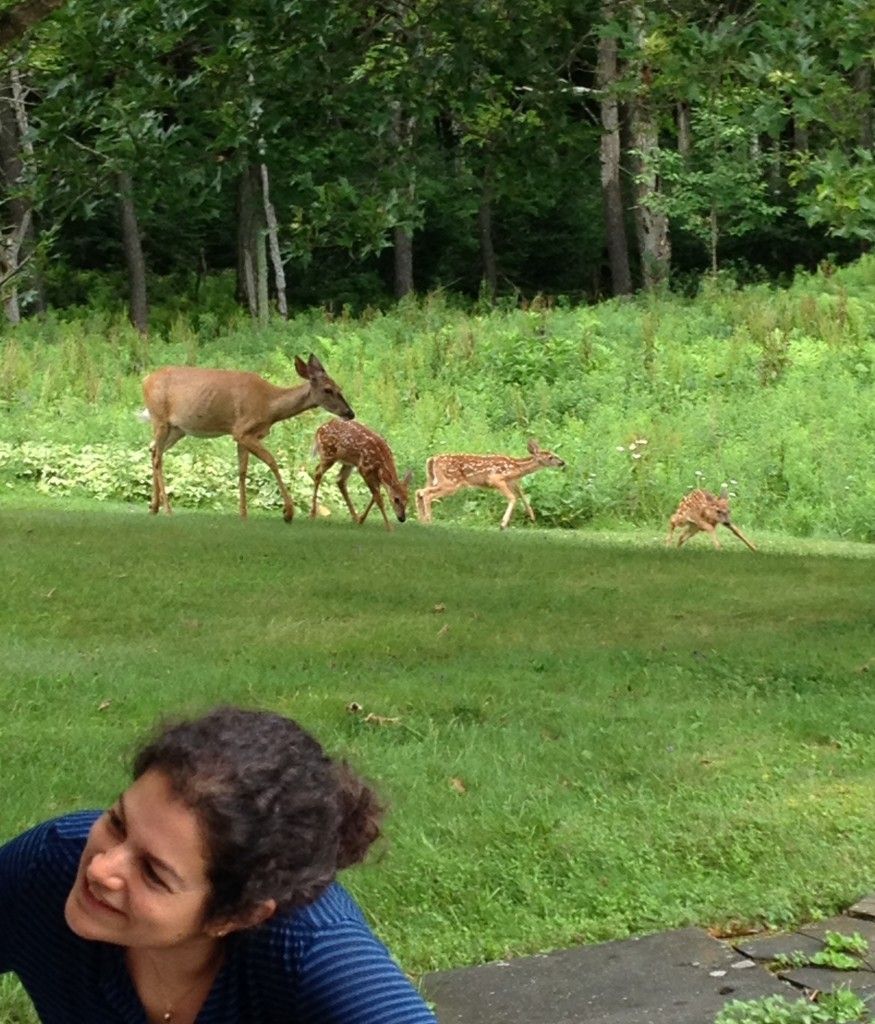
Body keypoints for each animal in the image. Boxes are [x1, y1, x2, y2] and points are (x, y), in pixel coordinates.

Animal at [141, 353, 354, 522]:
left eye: (339, 387)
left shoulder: (243, 436)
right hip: (160, 419)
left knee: (153, 450)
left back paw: (154, 507)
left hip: (177, 429)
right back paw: (167, 509)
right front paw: (288, 512)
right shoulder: (242, 431)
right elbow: (272, 461)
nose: (350, 413)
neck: (269, 405)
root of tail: (145, 380)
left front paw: (243, 513)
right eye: (328, 389)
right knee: (158, 457)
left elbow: (242, 471)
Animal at [415, 438, 565, 530]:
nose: (562, 462)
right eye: (550, 457)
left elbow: (522, 495)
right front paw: (502, 525)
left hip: (433, 479)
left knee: (419, 491)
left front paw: (532, 517)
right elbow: (513, 497)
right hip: (450, 483)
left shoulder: (512, 482)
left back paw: (421, 521)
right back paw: (428, 521)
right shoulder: (496, 479)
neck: (516, 468)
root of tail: (432, 459)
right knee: (426, 494)